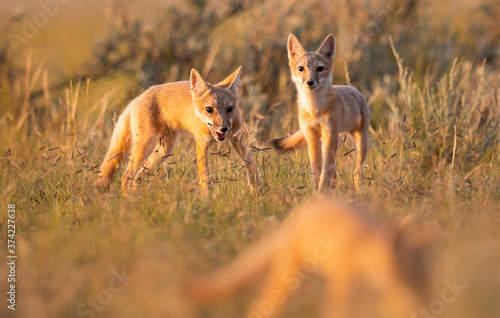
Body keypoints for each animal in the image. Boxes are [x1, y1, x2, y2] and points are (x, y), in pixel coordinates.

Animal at [95, 67, 258, 196]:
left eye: (230, 109)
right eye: (209, 109)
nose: (223, 128)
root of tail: (135, 100)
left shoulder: (236, 138)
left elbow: (251, 164)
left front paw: (257, 192)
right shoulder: (201, 144)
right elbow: (205, 177)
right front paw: (207, 200)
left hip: (164, 150)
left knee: (137, 177)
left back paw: (136, 199)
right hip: (146, 146)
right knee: (126, 176)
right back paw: (127, 201)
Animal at [186, 200, 432, 316]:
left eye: (423, 281)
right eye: (403, 273)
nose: (422, 307)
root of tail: (296, 219)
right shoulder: (344, 289)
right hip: (286, 283)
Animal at [270, 33, 372, 191]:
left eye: (320, 68)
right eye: (301, 68)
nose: (310, 82)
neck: (314, 109)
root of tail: (354, 89)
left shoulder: (330, 135)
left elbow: (325, 170)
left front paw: (322, 190)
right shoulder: (312, 136)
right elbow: (316, 170)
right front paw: (316, 191)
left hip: (360, 145)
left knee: (357, 171)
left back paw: (359, 190)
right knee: (336, 171)